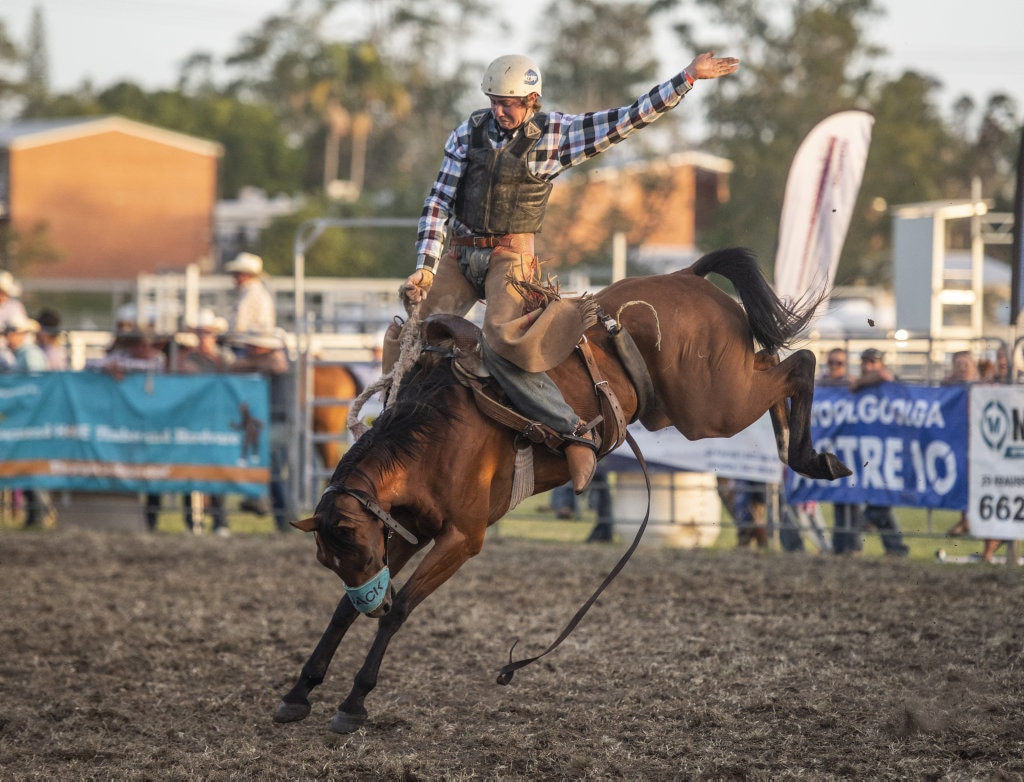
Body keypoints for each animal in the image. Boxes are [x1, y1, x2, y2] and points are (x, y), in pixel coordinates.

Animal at [272, 248, 847, 732]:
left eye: (349, 545)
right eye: (328, 558)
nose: (374, 600)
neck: (435, 433)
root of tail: (687, 276)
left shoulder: (461, 538)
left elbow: (401, 610)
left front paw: (353, 702)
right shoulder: (403, 530)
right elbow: (345, 609)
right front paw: (300, 691)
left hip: (711, 406)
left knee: (801, 364)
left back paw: (815, 457)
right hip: (713, 395)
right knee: (774, 366)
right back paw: (795, 448)